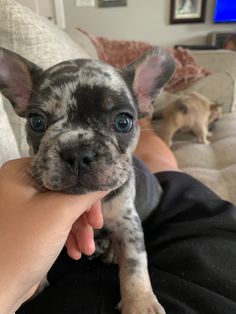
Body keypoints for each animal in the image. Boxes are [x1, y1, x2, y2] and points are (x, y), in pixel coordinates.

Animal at [0, 47, 175, 314]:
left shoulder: (129, 222)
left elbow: (134, 264)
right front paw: (33, 286)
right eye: (36, 122)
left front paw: (140, 302)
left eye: (123, 122)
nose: (78, 152)